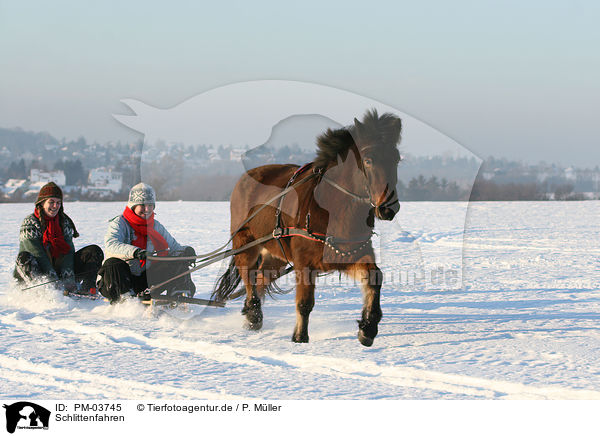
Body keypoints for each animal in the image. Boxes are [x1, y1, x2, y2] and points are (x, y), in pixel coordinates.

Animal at [213, 110, 400, 348]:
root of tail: (246, 177)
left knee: (261, 278)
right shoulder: (304, 263)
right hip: (246, 243)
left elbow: (375, 277)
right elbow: (304, 302)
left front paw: (368, 328)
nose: (388, 208)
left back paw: (251, 313)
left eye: (396, 158)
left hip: (276, 254)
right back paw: (253, 314)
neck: (334, 208)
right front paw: (300, 337)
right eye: (368, 160)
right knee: (249, 275)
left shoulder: (350, 253)